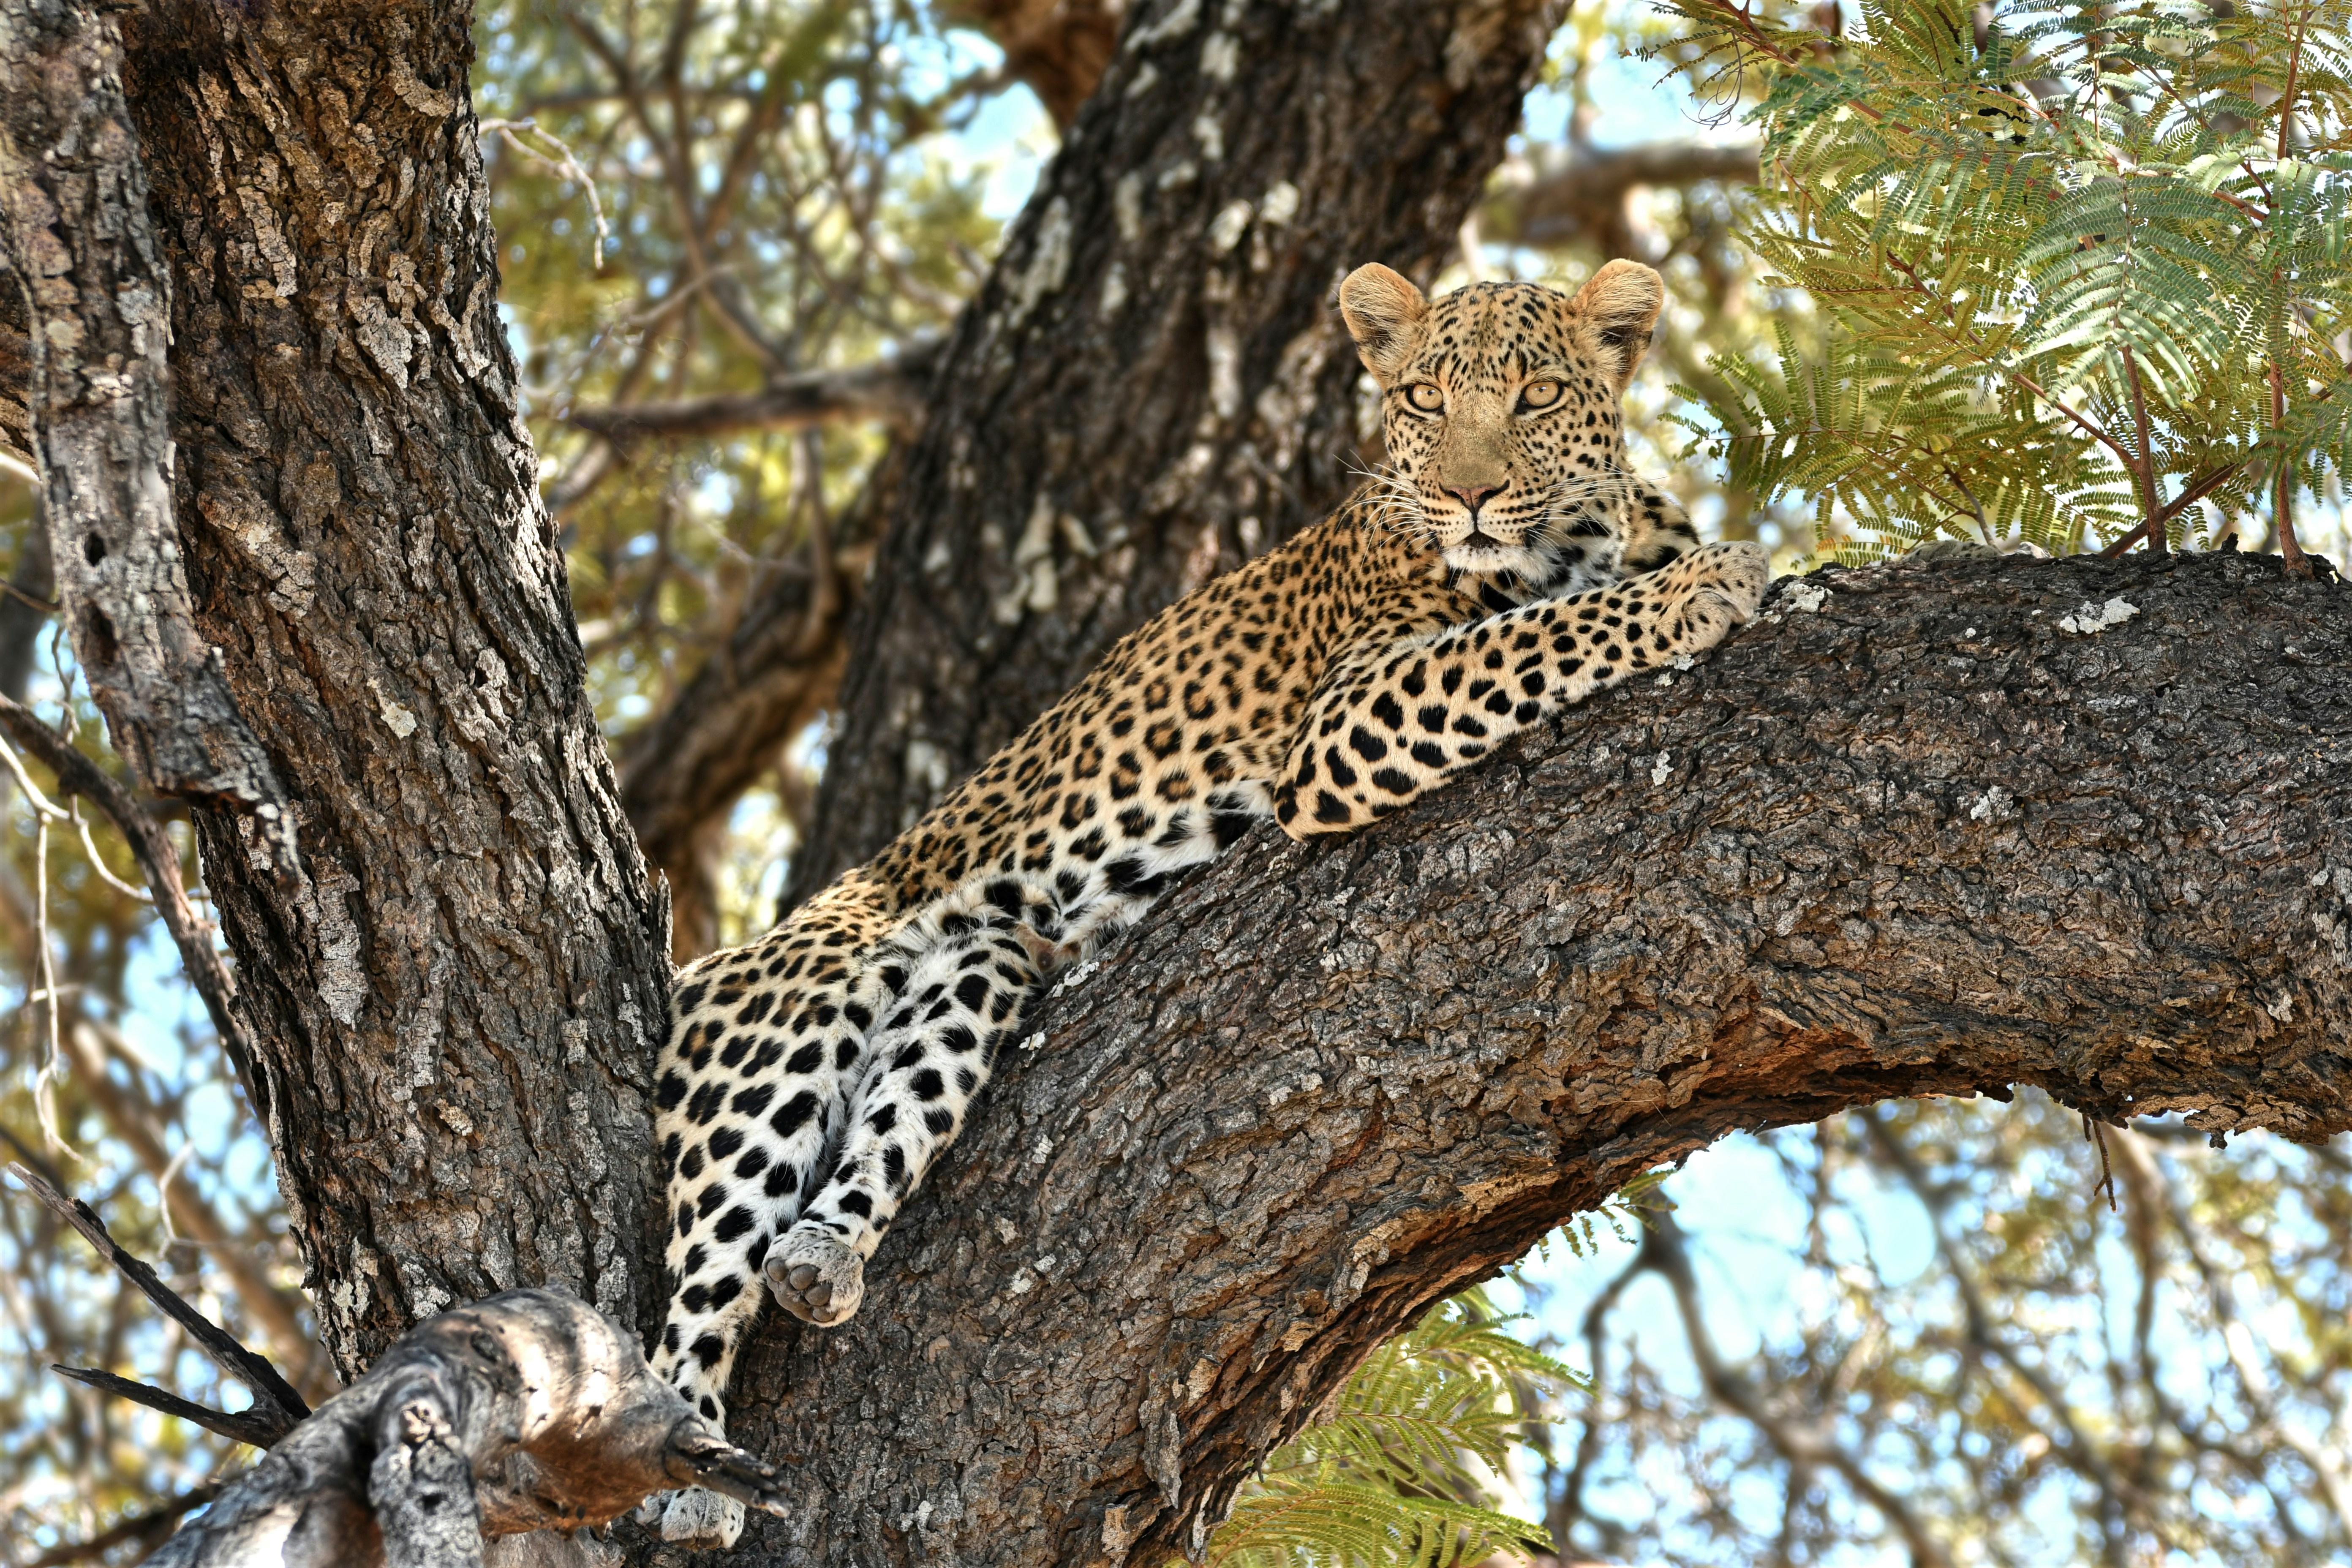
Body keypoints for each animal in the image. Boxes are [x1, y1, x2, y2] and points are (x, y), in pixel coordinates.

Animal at [638, 258, 1769, 1545]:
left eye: (1534, 398)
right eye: (1424, 400)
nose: (1472, 498)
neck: (1584, 535)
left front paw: (1686, 562)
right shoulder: (1351, 712)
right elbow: (1533, 635)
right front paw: (1701, 585)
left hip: (978, 959)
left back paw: (824, 1256)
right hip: (786, 1022)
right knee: (695, 1283)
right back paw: (688, 1473)